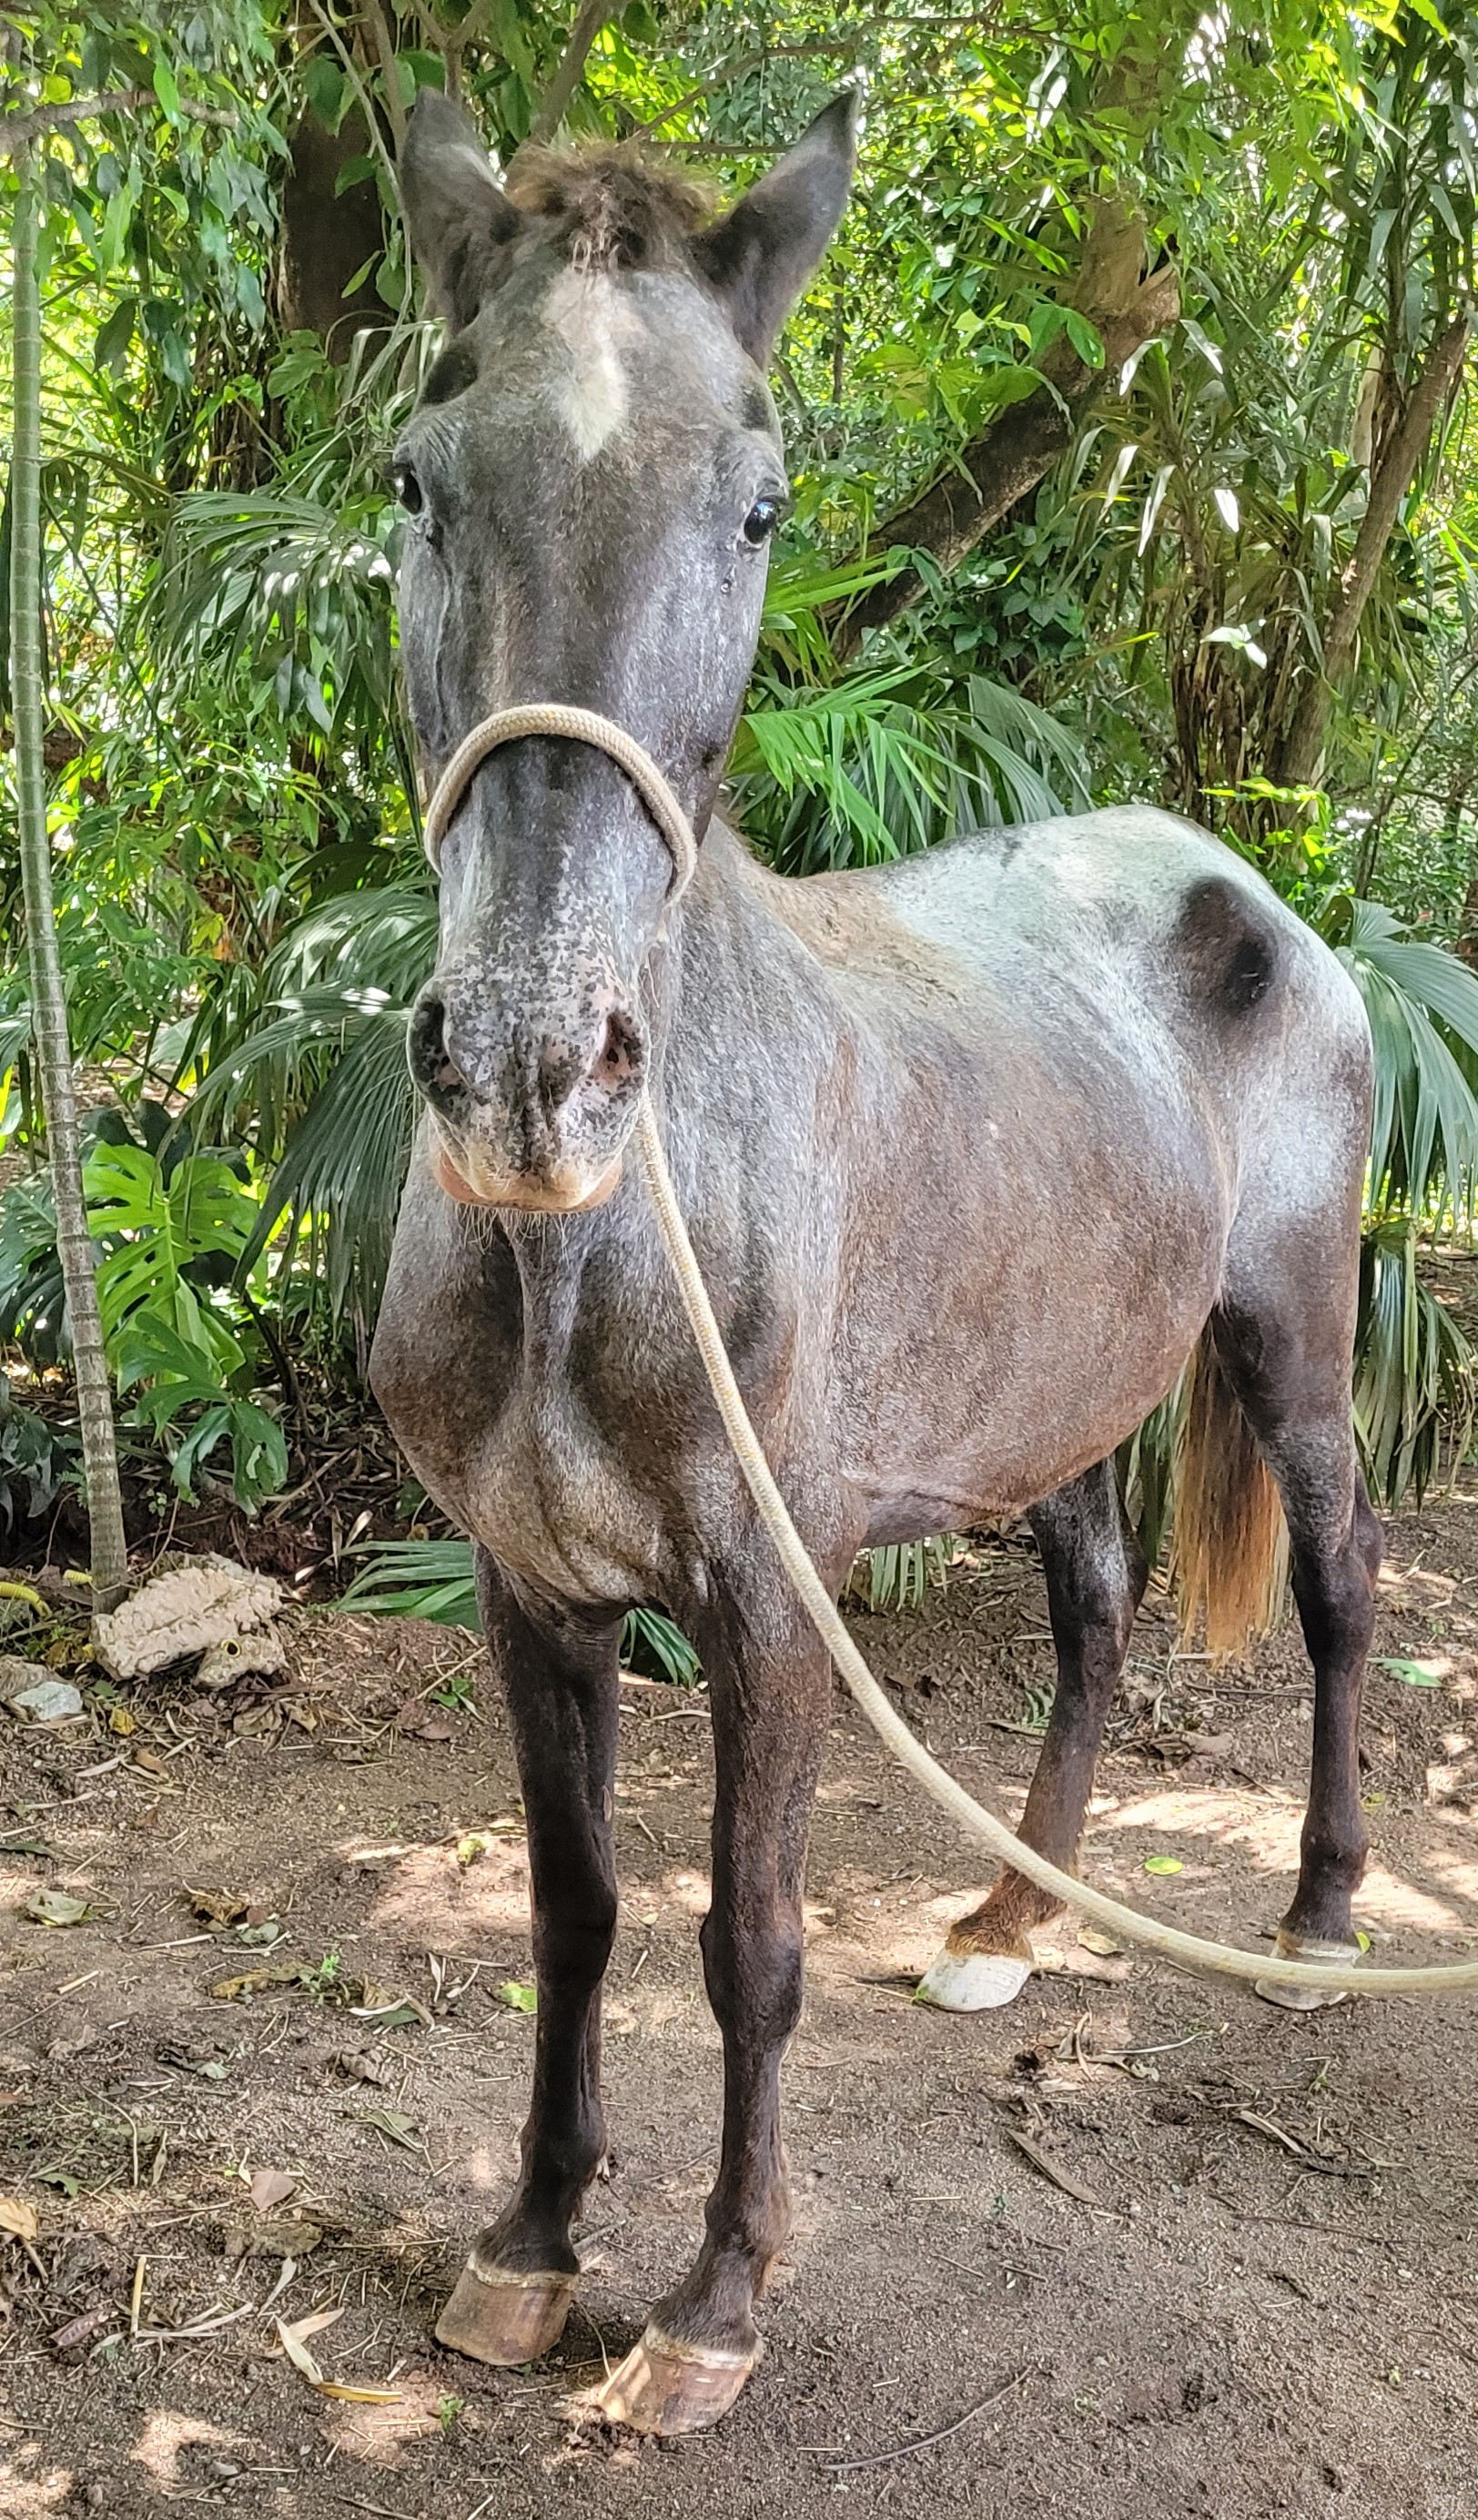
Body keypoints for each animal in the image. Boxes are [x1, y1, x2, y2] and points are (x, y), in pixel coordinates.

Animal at [368, 88, 1382, 2429]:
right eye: (416, 480)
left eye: (758, 506)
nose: (532, 1069)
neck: (596, 1250)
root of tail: (1240, 887)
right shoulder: (529, 1593)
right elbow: (570, 1918)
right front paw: (531, 2244)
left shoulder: (767, 1601)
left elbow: (746, 1942)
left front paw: (716, 2299)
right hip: (1064, 1392)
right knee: (1094, 1611)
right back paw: (1013, 1925)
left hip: (1291, 1344)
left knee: (1335, 1591)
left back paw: (1311, 1917)